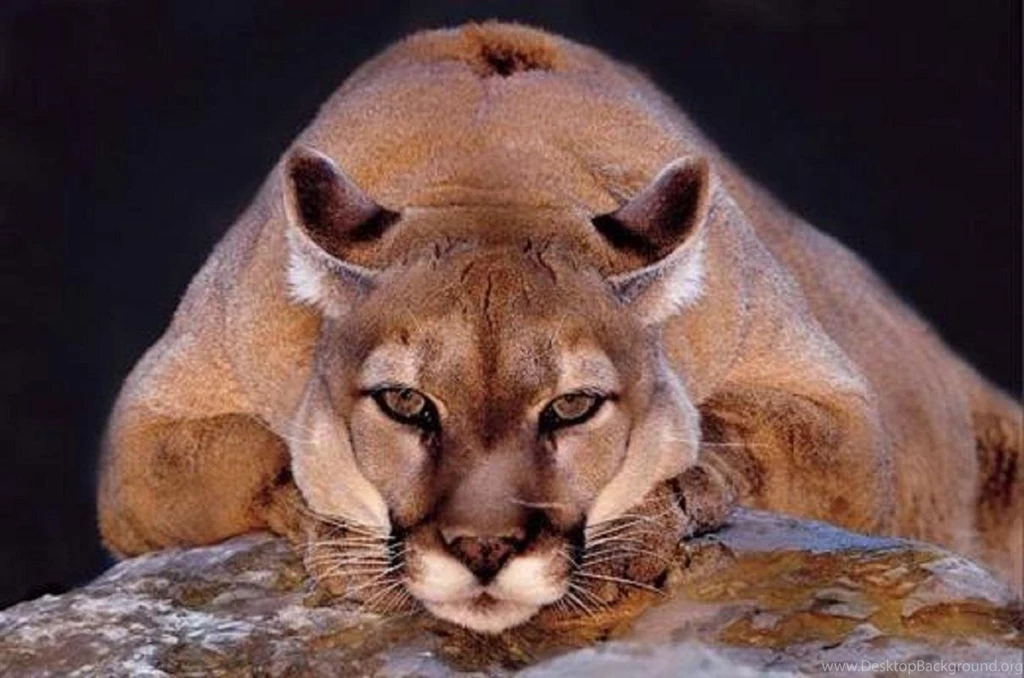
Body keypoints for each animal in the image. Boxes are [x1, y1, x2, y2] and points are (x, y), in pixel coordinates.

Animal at [97, 23, 1021, 633]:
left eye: (572, 407)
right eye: (405, 403)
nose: (483, 549)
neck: (492, 165)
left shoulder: (844, 416)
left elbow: (731, 432)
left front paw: (639, 528)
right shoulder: (147, 432)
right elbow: (256, 452)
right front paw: (341, 532)